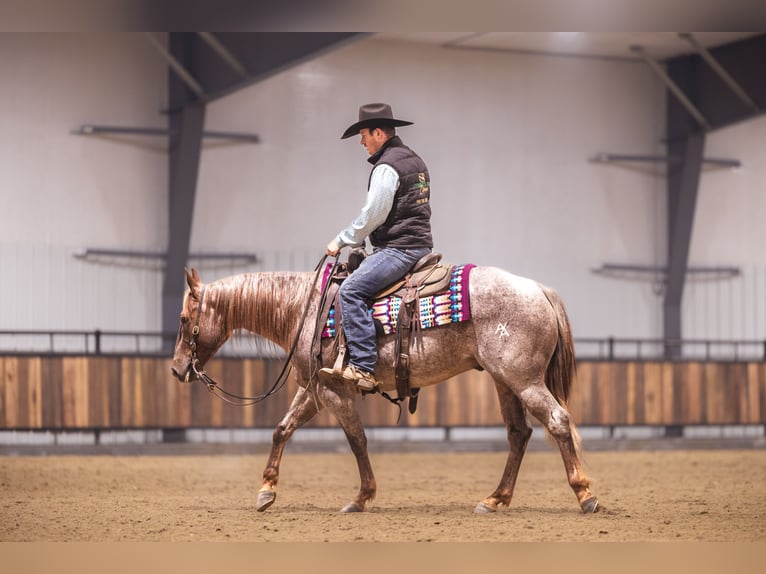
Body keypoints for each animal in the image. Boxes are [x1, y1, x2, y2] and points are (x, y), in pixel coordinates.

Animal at [171, 264, 600, 515]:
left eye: (183, 319)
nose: (176, 369)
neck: (302, 308)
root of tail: (539, 289)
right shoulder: (315, 389)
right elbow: (282, 429)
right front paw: (266, 491)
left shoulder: (335, 392)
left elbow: (357, 440)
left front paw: (362, 497)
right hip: (504, 381)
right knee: (518, 433)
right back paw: (495, 499)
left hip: (523, 379)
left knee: (557, 421)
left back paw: (585, 495)